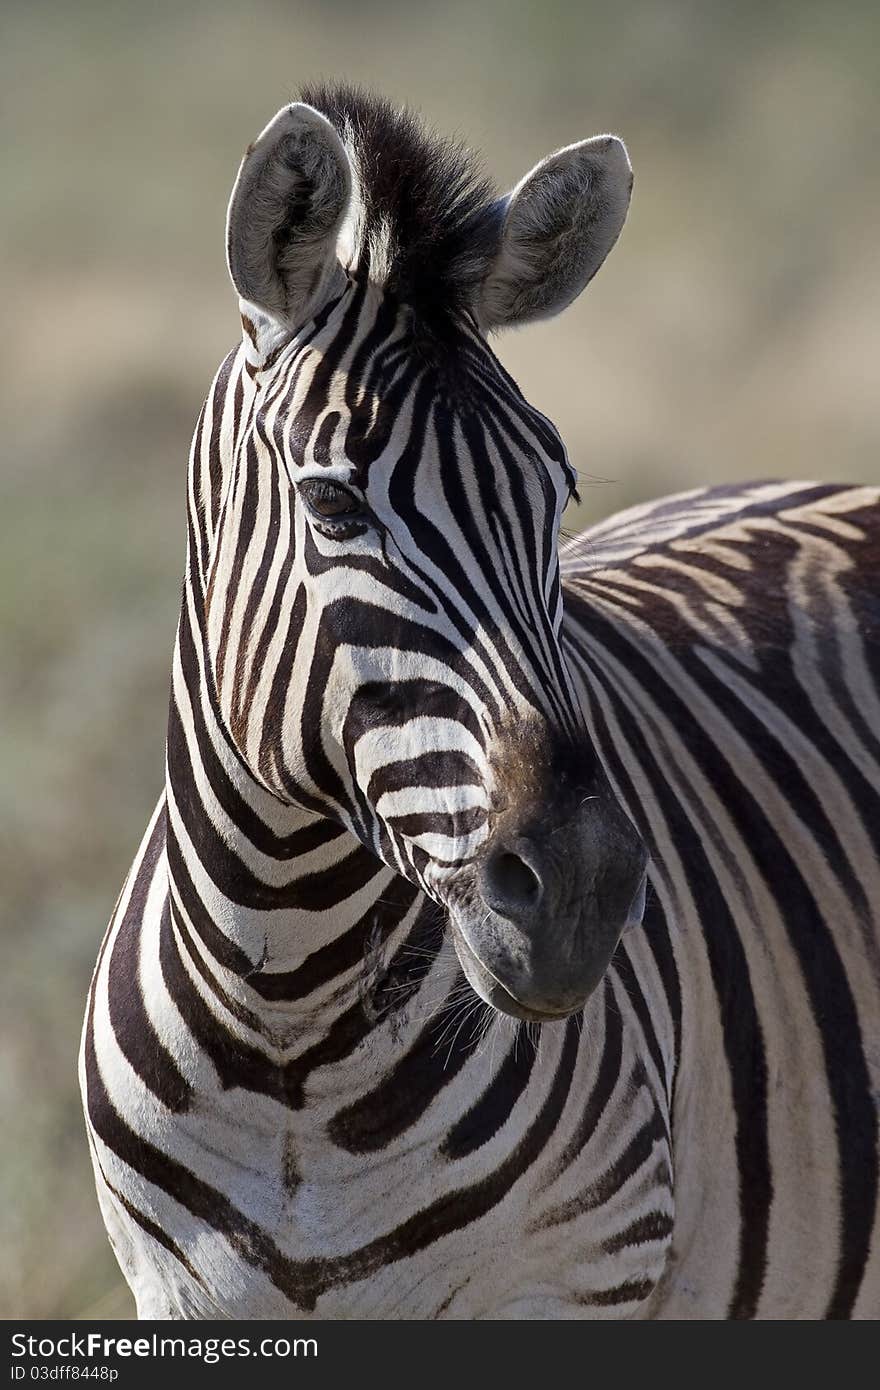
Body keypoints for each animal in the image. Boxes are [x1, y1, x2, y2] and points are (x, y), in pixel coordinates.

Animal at [78, 81, 873, 1317]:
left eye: (560, 499)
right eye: (334, 507)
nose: (585, 895)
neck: (284, 1023)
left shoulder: (575, 1277)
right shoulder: (175, 1297)